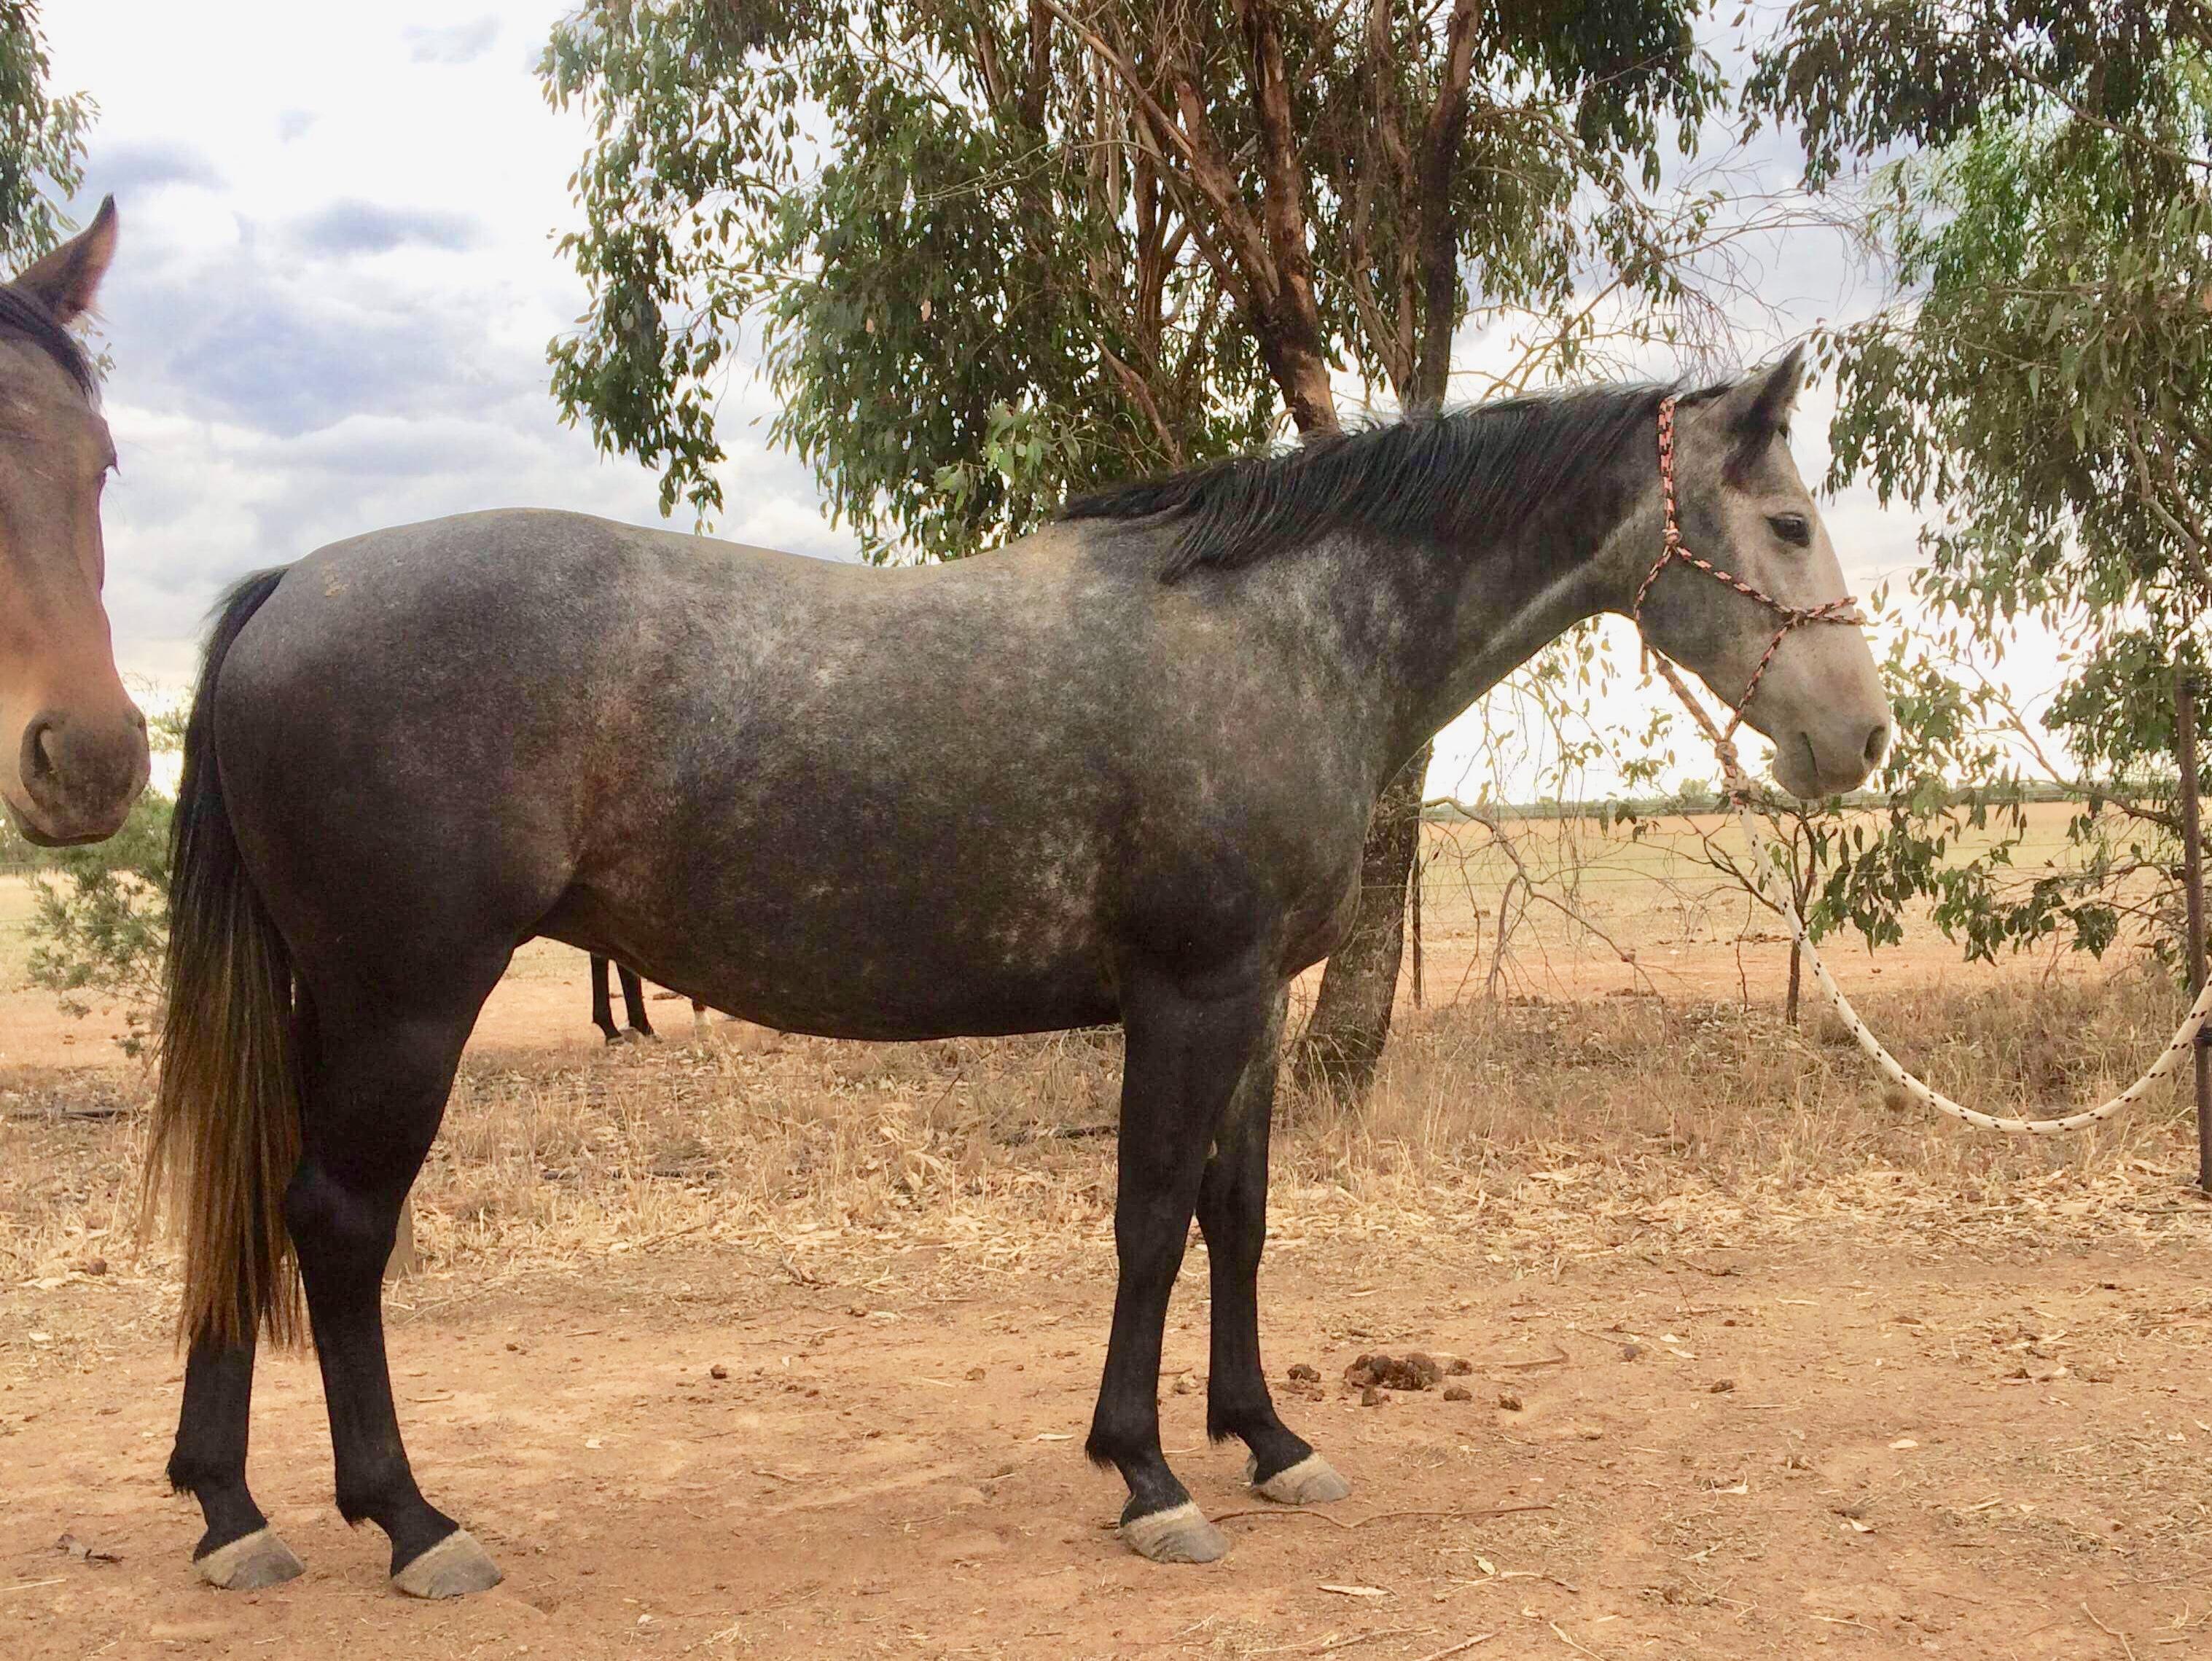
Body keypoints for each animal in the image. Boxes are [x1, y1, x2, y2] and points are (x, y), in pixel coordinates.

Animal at [147, 352, 1889, 1597]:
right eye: (1790, 522)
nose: (1861, 740)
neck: (1282, 627)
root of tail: (285, 589)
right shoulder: (1190, 992)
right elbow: (1148, 1219)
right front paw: (1149, 1475)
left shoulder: (1256, 1000)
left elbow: (1237, 1214)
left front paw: (1266, 1436)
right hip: (406, 1004)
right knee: (335, 1224)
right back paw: (408, 1517)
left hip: (326, 1001)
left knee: (246, 1203)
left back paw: (231, 1509)